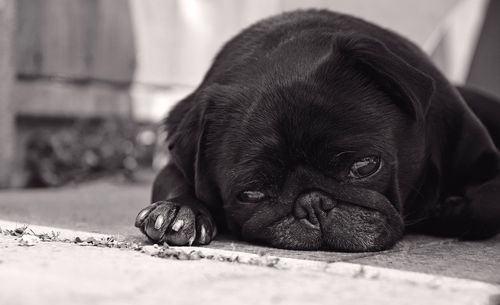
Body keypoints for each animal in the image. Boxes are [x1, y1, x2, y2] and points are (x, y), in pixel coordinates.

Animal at [134, 10, 500, 252]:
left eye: (365, 166)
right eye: (250, 194)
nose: (313, 203)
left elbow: (488, 200)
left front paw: (448, 209)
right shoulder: (175, 164)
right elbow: (171, 181)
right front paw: (178, 211)